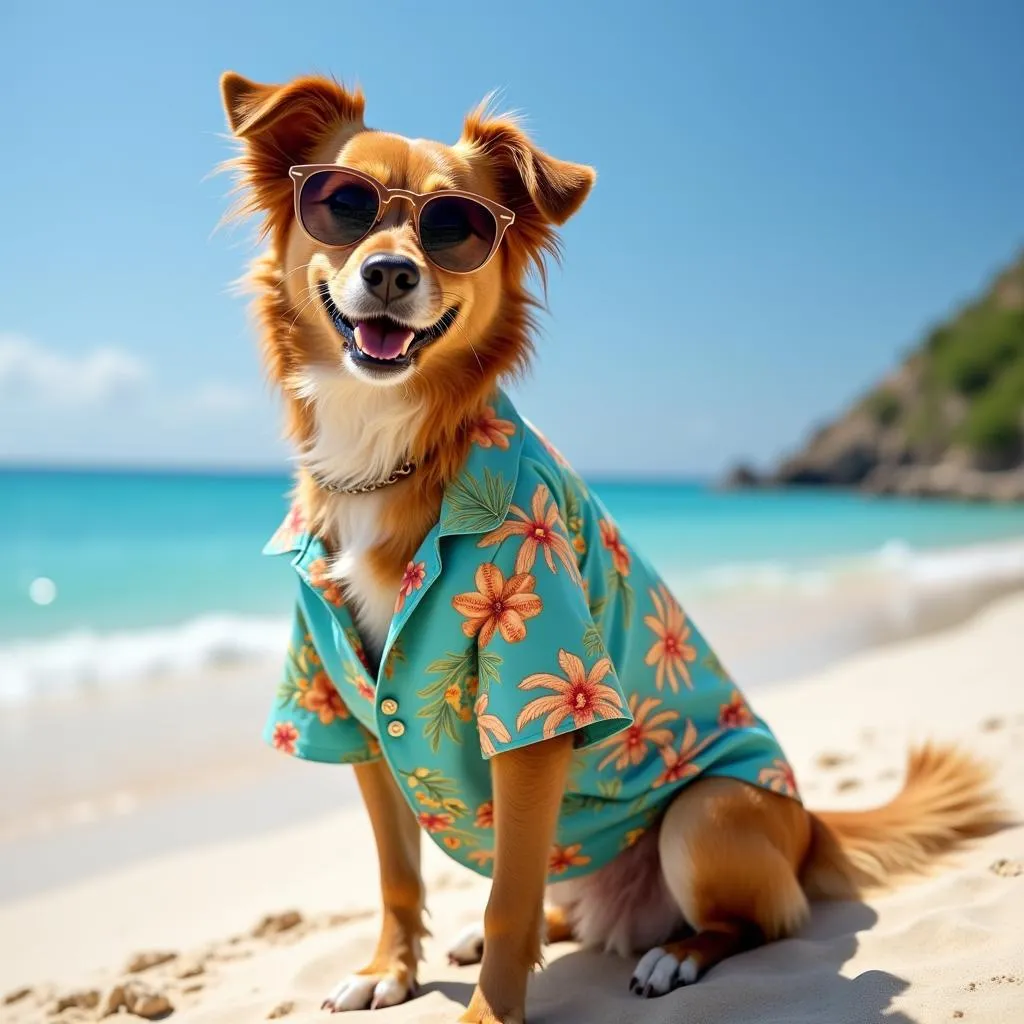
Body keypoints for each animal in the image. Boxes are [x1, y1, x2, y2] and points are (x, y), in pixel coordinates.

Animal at [218, 74, 1007, 1024]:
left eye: (456, 226)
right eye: (343, 204)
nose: (391, 272)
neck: (392, 450)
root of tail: (813, 824)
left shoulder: (532, 711)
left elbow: (509, 894)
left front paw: (488, 1012)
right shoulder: (352, 708)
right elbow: (399, 872)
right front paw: (390, 969)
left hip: (705, 818)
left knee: (752, 921)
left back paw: (675, 955)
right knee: (564, 909)